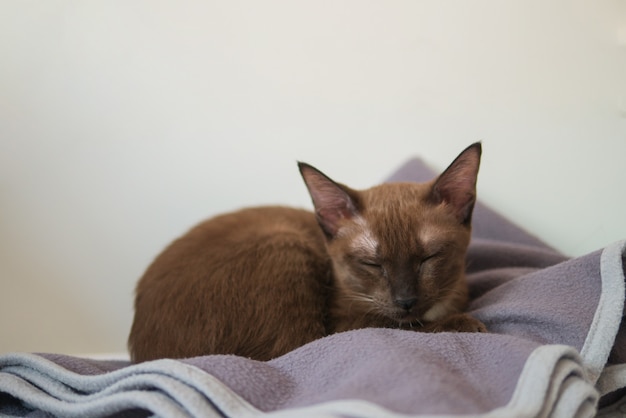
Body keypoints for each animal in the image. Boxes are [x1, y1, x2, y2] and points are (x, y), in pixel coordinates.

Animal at [129, 144, 486, 362]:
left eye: (429, 258)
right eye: (372, 264)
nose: (406, 301)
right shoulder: (346, 326)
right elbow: (401, 328)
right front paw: (466, 324)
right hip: (285, 244)